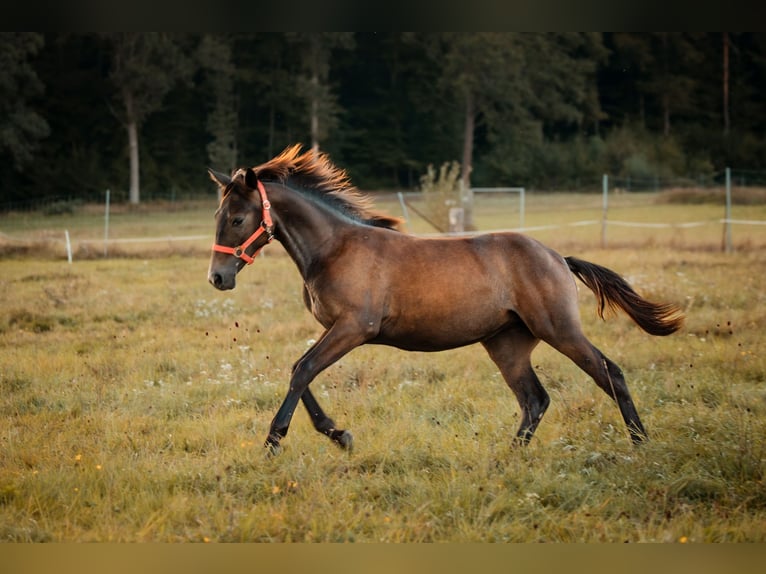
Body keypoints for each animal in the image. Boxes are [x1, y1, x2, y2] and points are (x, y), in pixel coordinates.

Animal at [207, 146, 688, 456]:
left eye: (237, 218)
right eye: (218, 216)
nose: (218, 277)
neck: (334, 247)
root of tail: (557, 257)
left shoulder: (353, 328)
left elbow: (302, 369)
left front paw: (277, 441)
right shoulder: (336, 330)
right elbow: (300, 371)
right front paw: (336, 434)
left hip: (559, 329)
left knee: (610, 373)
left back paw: (640, 443)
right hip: (507, 344)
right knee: (534, 399)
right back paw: (508, 457)